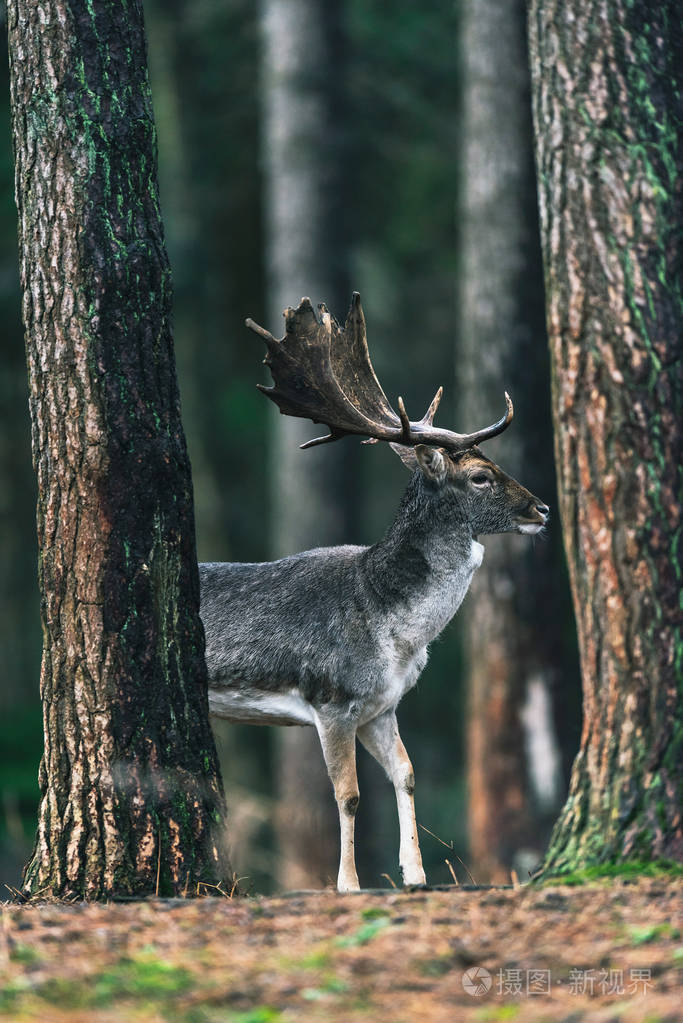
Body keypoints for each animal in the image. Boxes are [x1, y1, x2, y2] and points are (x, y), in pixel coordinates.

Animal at [198, 292, 548, 892]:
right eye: (480, 476)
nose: (542, 509)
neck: (392, 630)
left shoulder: (383, 705)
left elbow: (406, 775)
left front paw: (415, 874)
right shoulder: (331, 698)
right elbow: (349, 795)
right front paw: (348, 883)